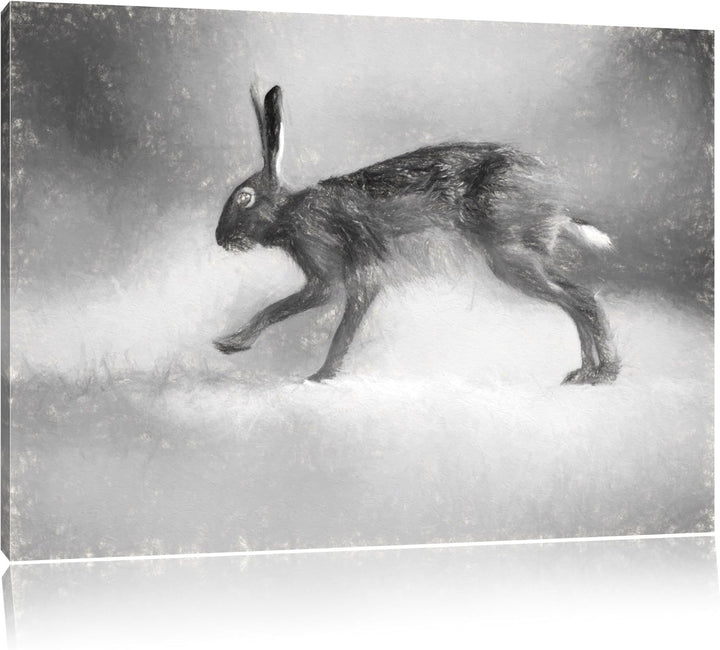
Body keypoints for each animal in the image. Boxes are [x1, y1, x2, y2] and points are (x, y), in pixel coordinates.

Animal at [214, 85, 620, 385]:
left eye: (244, 198)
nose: (219, 239)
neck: (290, 213)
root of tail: (554, 203)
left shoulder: (345, 274)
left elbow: (326, 325)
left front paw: (319, 374)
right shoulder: (333, 280)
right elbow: (288, 311)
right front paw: (233, 344)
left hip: (511, 258)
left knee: (583, 300)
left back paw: (604, 374)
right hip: (520, 259)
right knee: (576, 301)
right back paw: (585, 371)